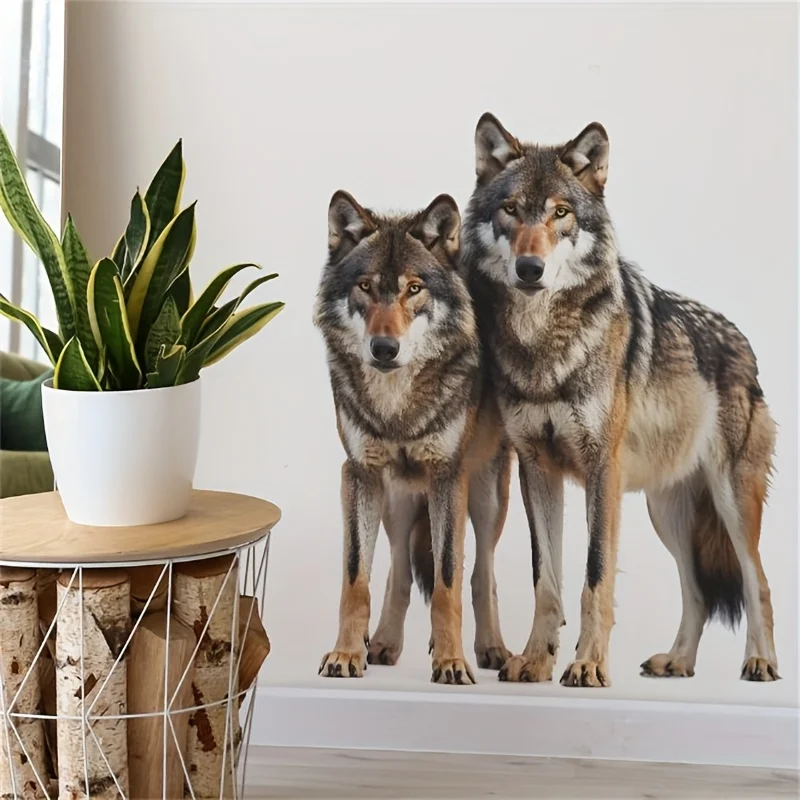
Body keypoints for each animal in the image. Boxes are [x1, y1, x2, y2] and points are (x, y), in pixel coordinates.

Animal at [313, 190, 513, 684]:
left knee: (481, 574)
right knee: (399, 569)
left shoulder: (447, 476)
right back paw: (383, 644)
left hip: (485, 499)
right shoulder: (359, 474)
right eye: (365, 286)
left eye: (414, 288)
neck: (397, 408)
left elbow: (448, 584)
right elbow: (356, 580)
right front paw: (345, 654)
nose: (385, 349)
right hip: (397, 500)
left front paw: (452, 661)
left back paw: (491, 648)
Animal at [460, 113, 778, 687]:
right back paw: (677, 661)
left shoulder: (600, 470)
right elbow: (546, 580)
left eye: (561, 213)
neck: (544, 346)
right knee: (697, 591)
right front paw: (535, 661)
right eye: (511, 209)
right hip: (666, 514)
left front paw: (587, 664)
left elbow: (595, 575)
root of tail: (742, 344)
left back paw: (760, 661)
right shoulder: (535, 468)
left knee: (756, 580)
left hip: (730, 501)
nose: (529, 268)